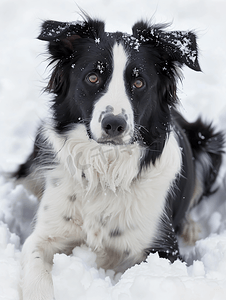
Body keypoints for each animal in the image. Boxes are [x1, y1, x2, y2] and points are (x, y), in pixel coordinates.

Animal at [15, 15, 224, 300]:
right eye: (92, 77)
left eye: (139, 83)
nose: (114, 124)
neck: (106, 169)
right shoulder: (44, 236)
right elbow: (37, 273)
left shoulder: (164, 250)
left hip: (208, 140)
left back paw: (190, 227)